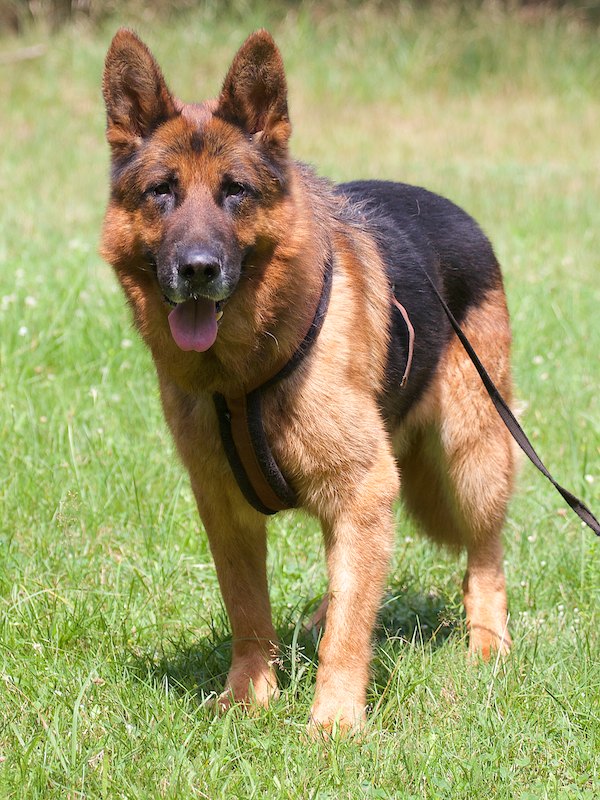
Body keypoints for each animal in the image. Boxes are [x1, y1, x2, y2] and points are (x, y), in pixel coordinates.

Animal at [101, 29, 516, 733]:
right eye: (162, 192)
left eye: (235, 191)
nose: (197, 270)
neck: (243, 377)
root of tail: (457, 212)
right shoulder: (225, 507)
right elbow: (249, 610)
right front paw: (248, 697)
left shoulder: (365, 484)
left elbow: (350, 628)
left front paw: (336, 720)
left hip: (471, 455)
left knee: (481, 555)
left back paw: (488, 642)